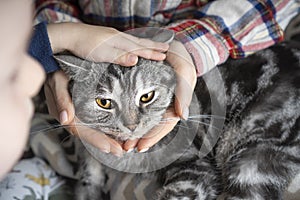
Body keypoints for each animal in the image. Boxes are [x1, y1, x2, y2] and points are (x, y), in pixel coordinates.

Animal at [54, 39, 300, 199]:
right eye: (104, 102)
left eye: (146, 96)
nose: (131, 126)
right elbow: (87, 178)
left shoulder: (193, 165)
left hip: (252, 156)